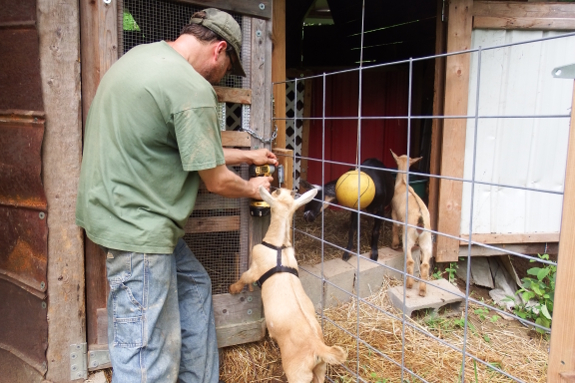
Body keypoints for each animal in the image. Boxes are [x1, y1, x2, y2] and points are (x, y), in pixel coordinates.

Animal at [228, 188, 346, 382]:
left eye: (276, 192)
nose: (276, 187)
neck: (279, 245)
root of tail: (318, 348)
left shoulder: (254, 269)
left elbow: (244, 278)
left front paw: (233, 289)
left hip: (297, 374)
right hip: (320, 370)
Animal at [390, 150, 434, 296]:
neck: (403, 183)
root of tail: (420, 218)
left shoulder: (394, 213)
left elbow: (395, 227)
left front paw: (394, 244)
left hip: (408, 237)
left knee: (409, 260)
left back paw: (409, 285)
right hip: (427, 240)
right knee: (425, 264)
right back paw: (422, 291)